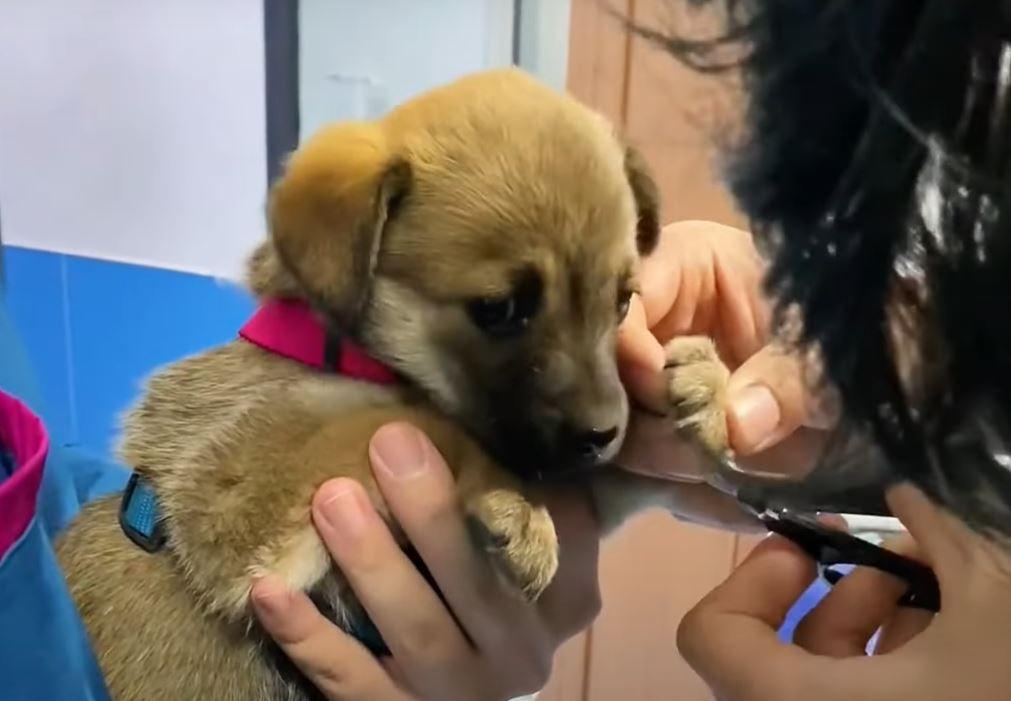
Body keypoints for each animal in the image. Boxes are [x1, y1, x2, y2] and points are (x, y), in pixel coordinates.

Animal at [57, 69, 736, 699]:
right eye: (498, 309)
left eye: (624, 302)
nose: (602, 433)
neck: (346, 354)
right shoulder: (236, 493)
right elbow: (410, 418)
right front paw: (510, 498)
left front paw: (704, 385)